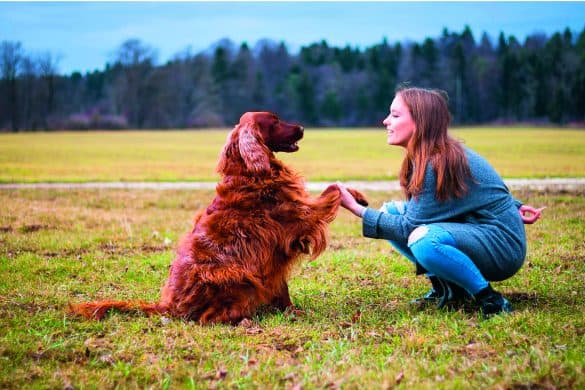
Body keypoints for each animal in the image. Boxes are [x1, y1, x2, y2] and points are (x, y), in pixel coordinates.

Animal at [69, 112, 364, 322]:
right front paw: (354, 196)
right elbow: (332, 190)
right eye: (275, 121)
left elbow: (282, 289)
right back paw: (244, 319)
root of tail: (168, 305)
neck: (248, 172)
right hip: (238, 275)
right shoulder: (301, 217)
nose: (302, 128)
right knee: (208, 319)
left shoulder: (275, 254)